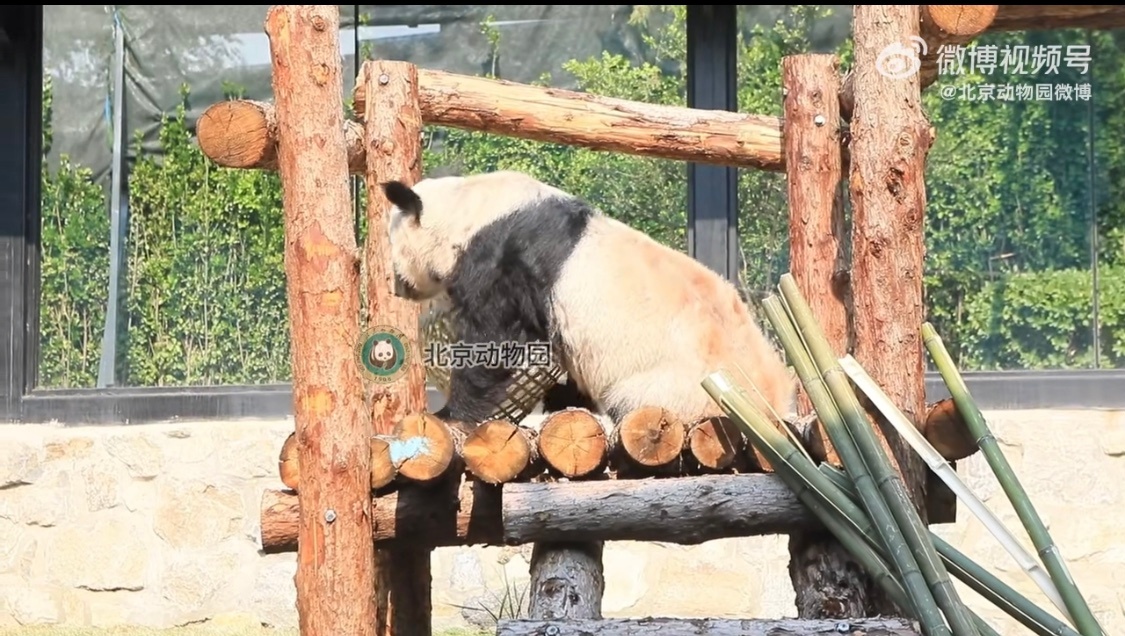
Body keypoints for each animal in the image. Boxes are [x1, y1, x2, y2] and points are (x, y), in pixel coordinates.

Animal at [382, 169, 796, 425]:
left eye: (393, 244)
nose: (396, 285)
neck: (469, 207)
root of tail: (774, 406)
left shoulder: (505, 260)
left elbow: (500, 342)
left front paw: (453, 414)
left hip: (672, 386)